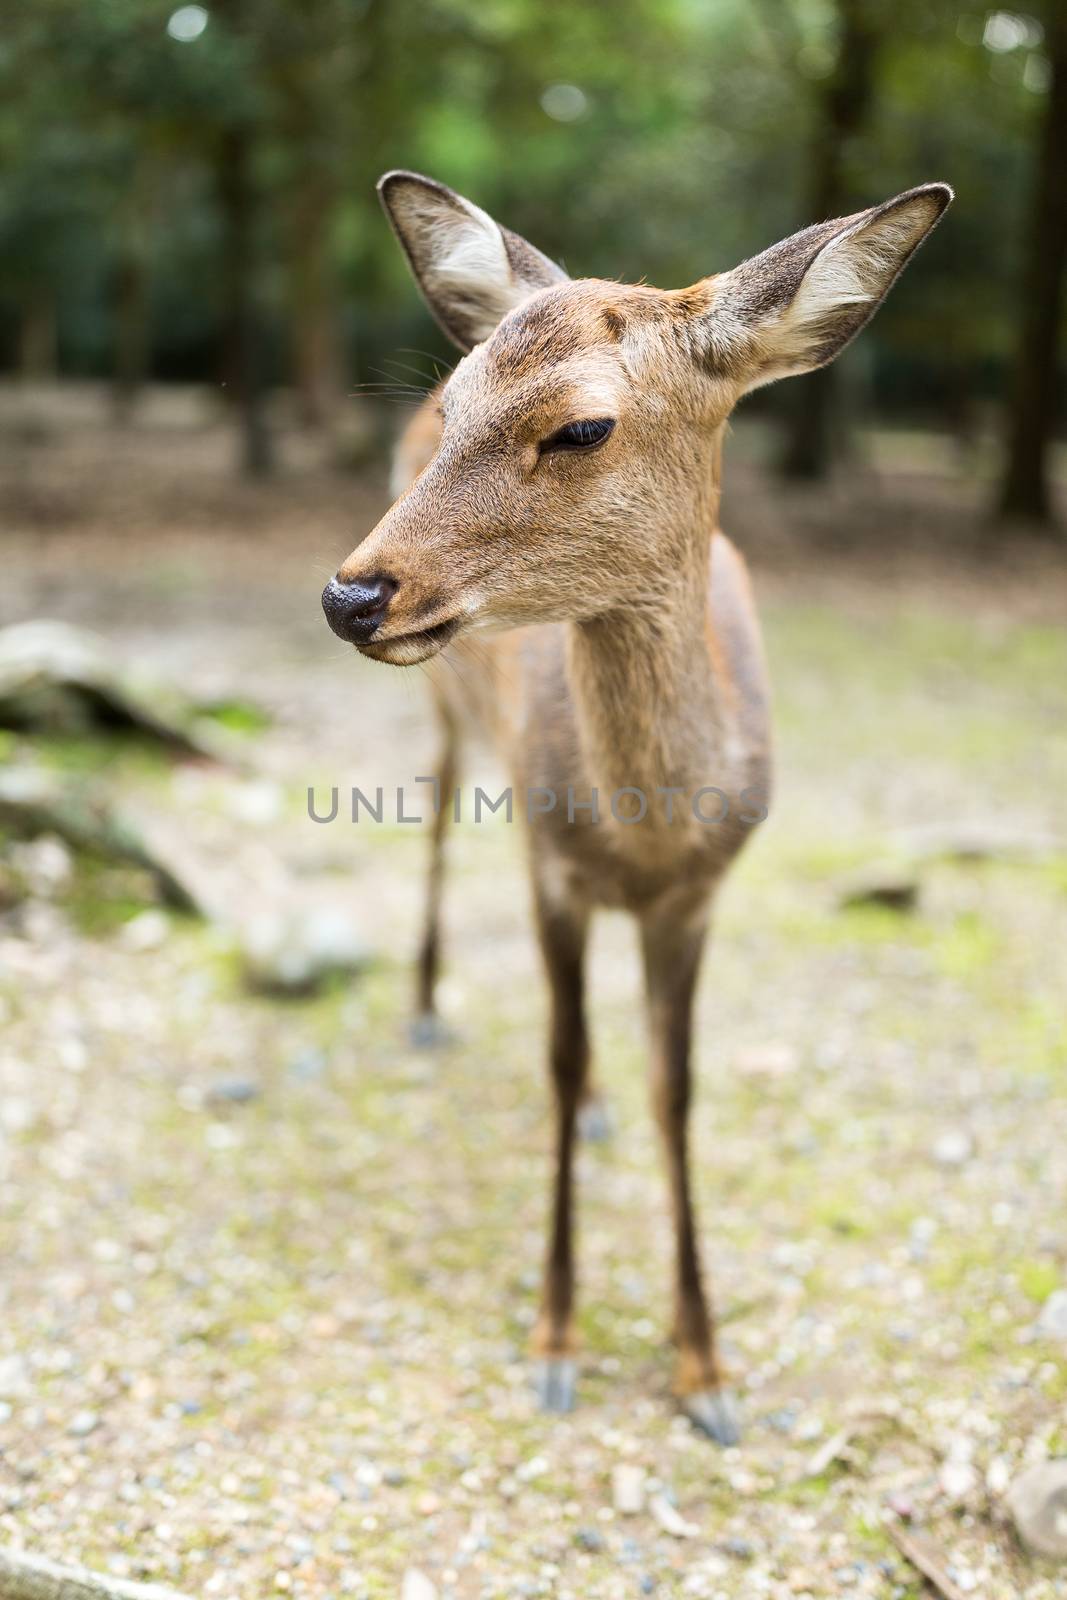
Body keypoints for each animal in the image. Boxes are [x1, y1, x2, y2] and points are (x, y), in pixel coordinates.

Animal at [323, 168, 953, 1446]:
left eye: (580, 426)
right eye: (455, 400)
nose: (351, 593)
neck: (649, 836)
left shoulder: (698, 899)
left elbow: (678, 1089)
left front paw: (703, 1368)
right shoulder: (552, 868)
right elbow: (558, 1059)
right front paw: (555, 1341)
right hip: (459, 725)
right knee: (435, 809)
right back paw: (425, 1007)